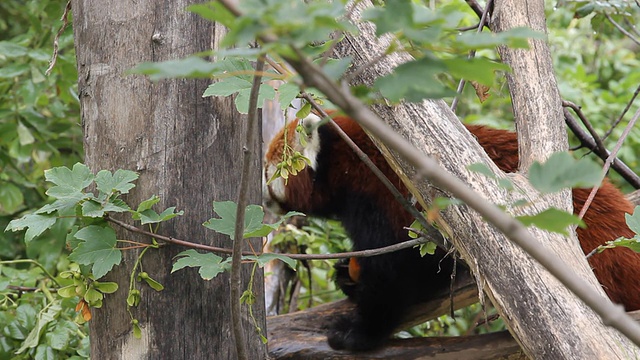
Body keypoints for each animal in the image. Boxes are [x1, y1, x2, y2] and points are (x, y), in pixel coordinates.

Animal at [262, 113, 640, 352]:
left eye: (268, 170)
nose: (260, 197)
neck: (348, 162)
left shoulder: (386, 201)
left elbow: (394, 277)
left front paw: (359, 334)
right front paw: (346, 273)